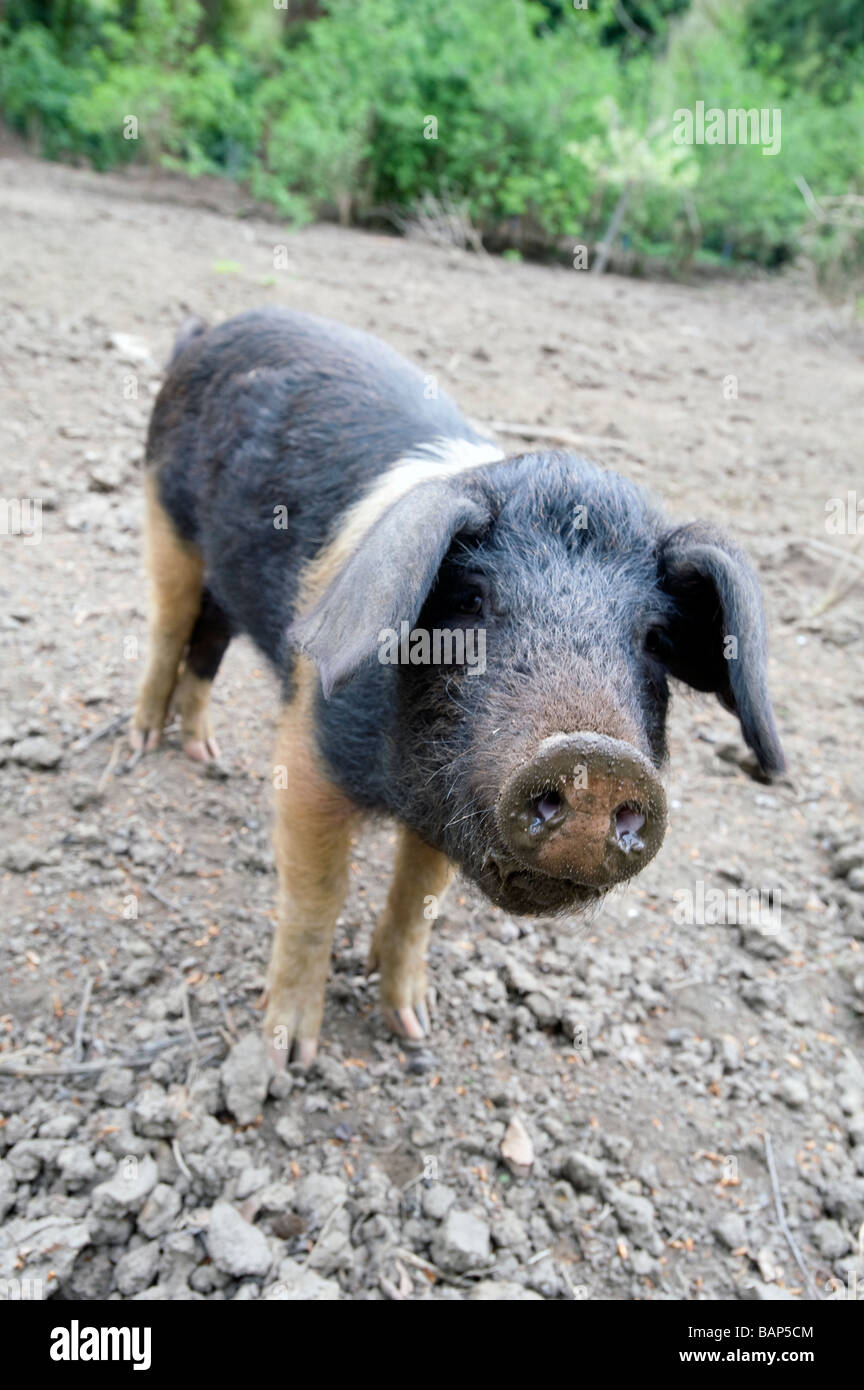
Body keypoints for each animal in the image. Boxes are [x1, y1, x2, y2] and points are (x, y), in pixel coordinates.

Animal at [131, 307, 788, 1061]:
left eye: (653, 638)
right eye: (472, 600)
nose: (594, 757)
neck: (406, 791)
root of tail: (211, 331)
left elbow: (419, 899)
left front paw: (414, 1025)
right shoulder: (309, 755)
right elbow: (317, 895)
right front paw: (287, 1051)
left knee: (207, 643)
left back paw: (204, 754)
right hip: (165, 516)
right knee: (167, 627)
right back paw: (143, 745)